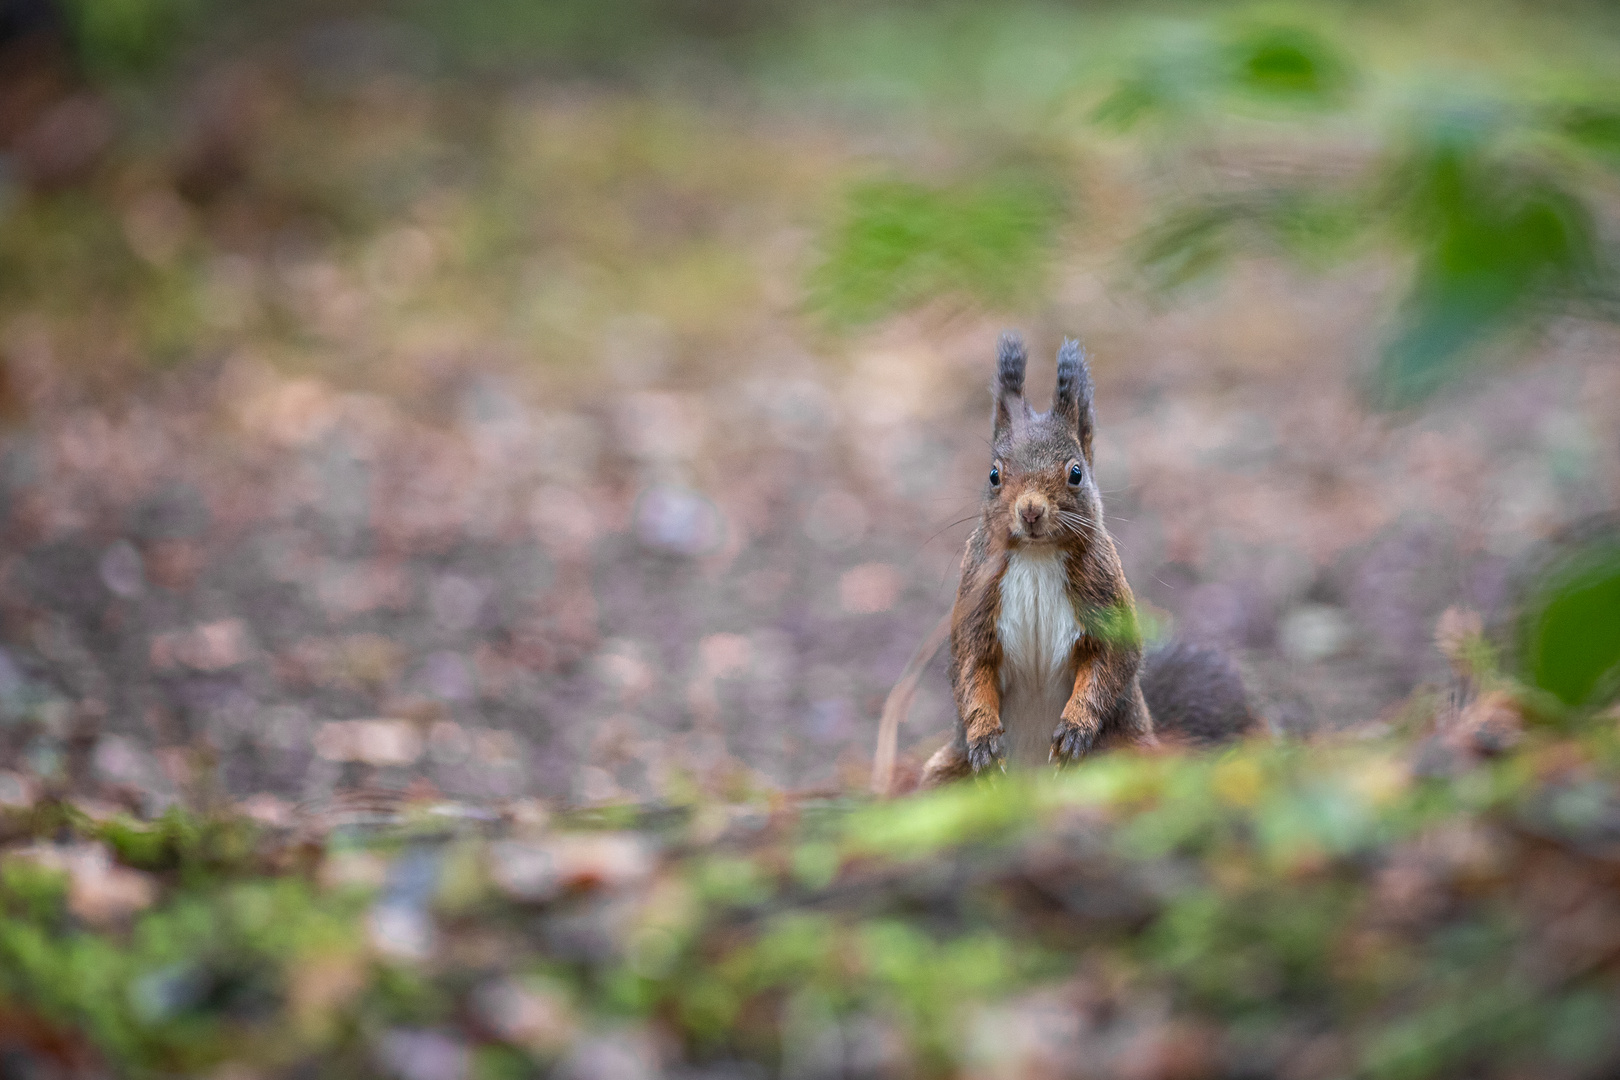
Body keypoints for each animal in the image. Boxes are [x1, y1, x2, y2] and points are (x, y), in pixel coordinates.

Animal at [874, 333, 1250, 799]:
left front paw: (1075, 728)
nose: (1031, 509)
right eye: (994, 474)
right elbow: (969, 665)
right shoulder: (976, 595)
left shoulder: (1104, 594)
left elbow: (1112, 660)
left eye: (1076, 473)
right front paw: (983, 736)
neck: (1037, 557)